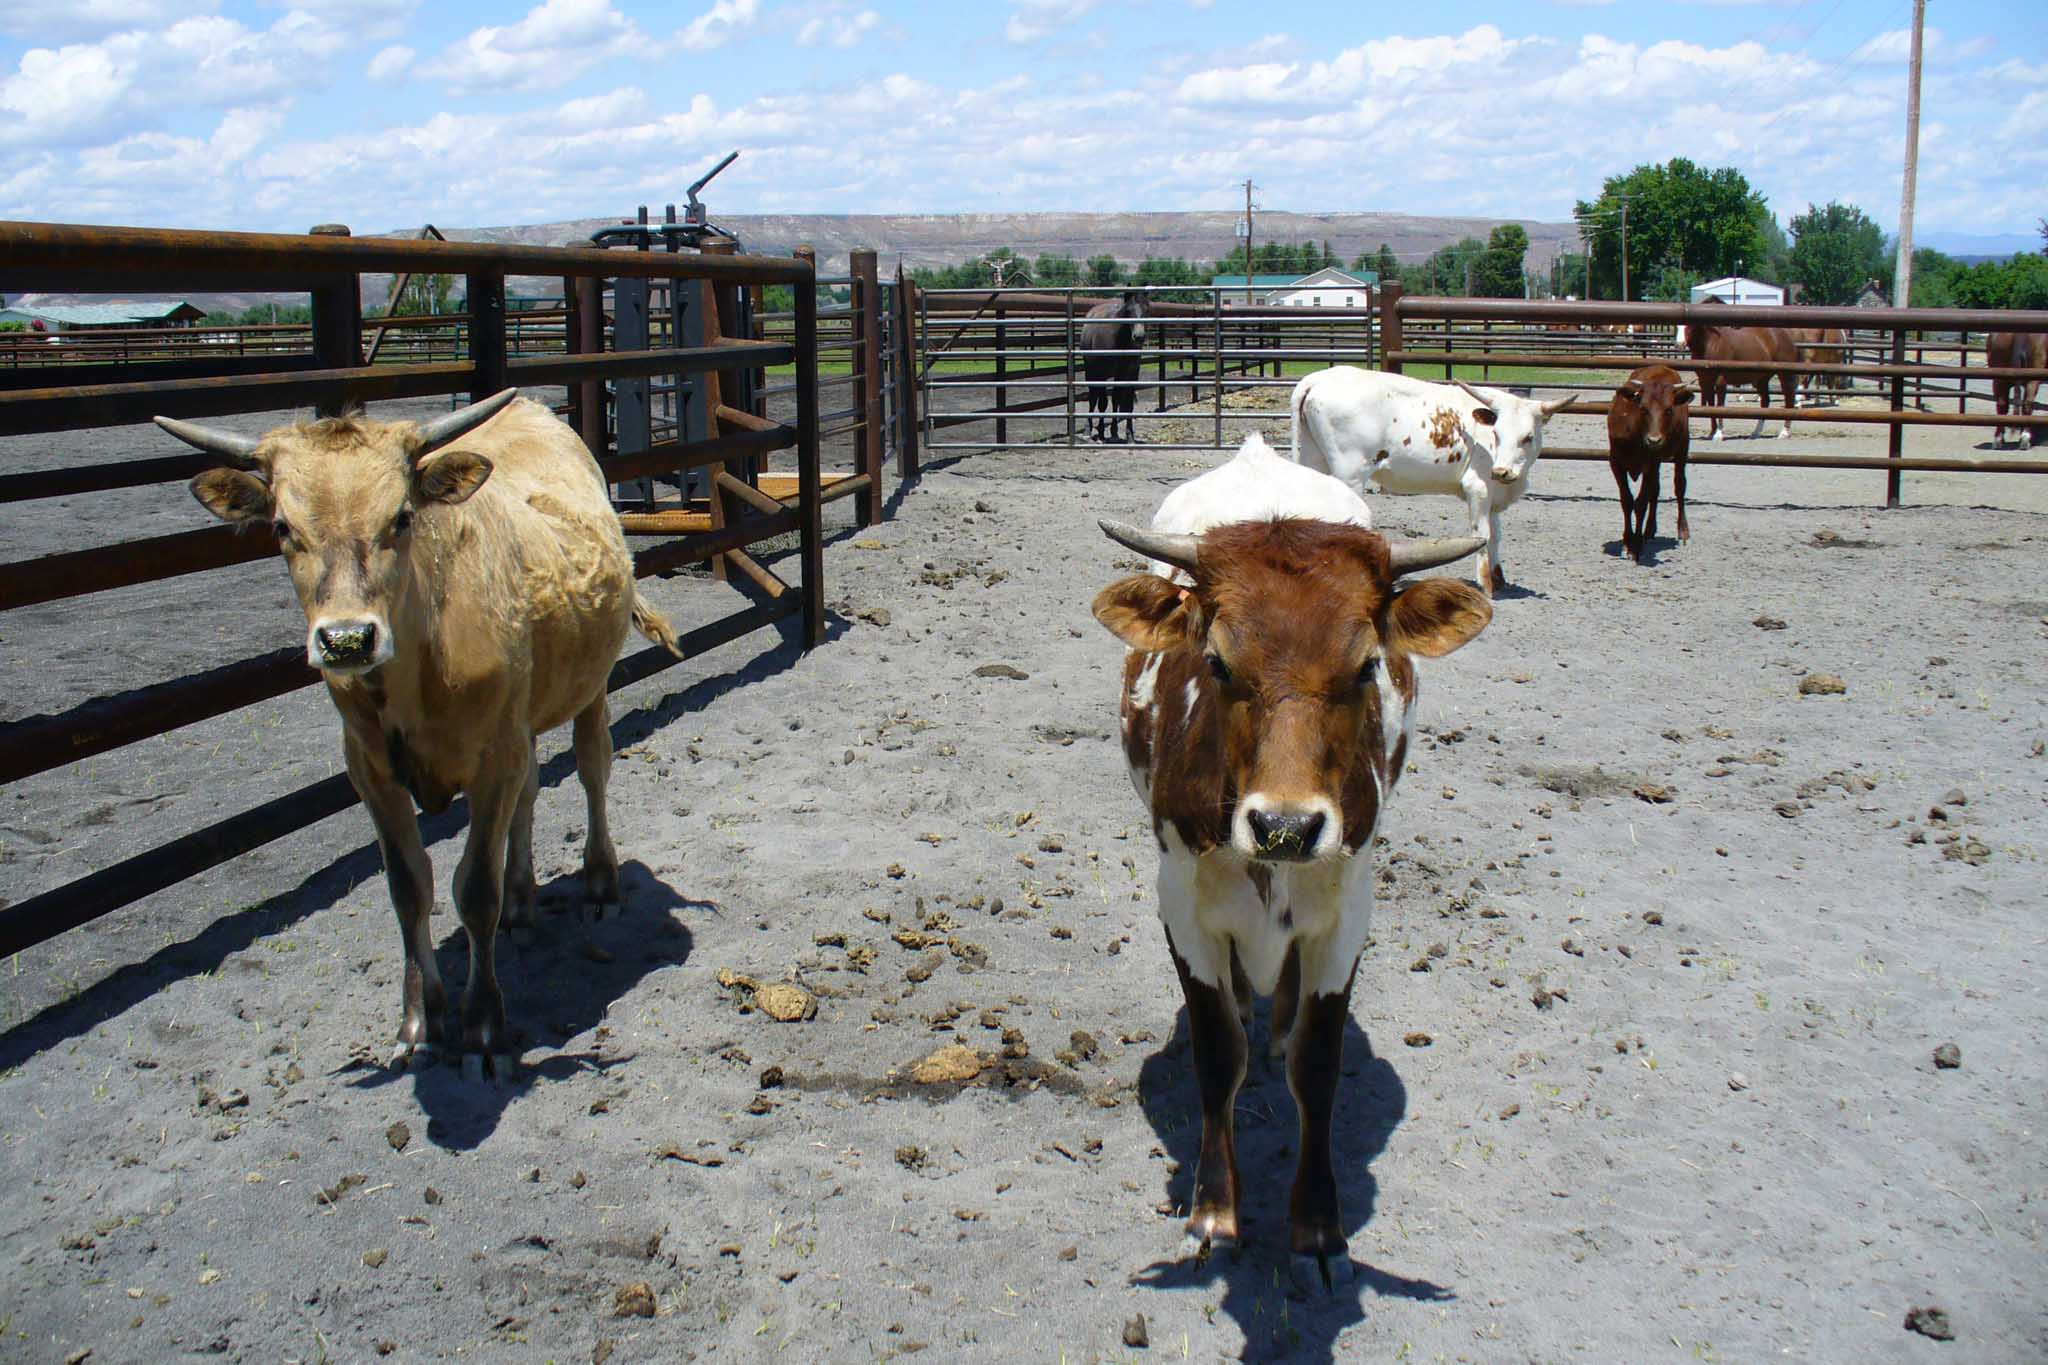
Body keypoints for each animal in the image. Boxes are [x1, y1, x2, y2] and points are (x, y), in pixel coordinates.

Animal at [159, 388, 684, 1080]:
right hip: (521, 718)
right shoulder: (371, 770)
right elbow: (409, 888)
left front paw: (483, 1023)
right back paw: (523, 901)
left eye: (402, 517)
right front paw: (421, 1023)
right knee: (528, 795)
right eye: (282, 528)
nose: (346, 639)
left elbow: (475, 889)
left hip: (588, 683)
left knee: (592, 766)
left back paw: (600, 881)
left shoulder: (492, 757)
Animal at [1081, 292, 1146, 444]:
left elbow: (1126, 403)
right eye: (1128, 311)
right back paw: (1088, 430)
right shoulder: (1101, 374)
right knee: (1093, 398)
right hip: (1092, 372)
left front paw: (1129, 436)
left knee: (1115, 398)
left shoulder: (1130, 374)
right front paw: (1100, 433)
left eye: (1147, 309)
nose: (1139, 336)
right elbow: (1102, 403)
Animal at [1286, 366, 1572, 593]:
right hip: (1351, 473)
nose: (1501, 471)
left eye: (1528, 437)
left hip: (1314, 461)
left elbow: (1497, 534)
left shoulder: (1494, 494)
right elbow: (1483, 534)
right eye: (1497, 434)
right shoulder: (1478, 488)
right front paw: (1486, 586)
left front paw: (1499, 578)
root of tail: (1317, 379)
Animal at [1597, 362, 1695, 564]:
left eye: (1669, 410)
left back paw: (1683, 531)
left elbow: (1640, 503)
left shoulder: (1650, 463)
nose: (1654, 440)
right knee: (1655, 491)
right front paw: (1628, 541)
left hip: (1682, 448)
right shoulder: (1615, 462)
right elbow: (1627, 500)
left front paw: (1635, 546)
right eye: (1643, 408)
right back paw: (1649, 530)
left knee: (1680, 486)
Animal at [1687, 300, 1802, 439]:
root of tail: (1788, 337)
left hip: (1785, 374)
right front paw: (1712, 432)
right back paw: (1756, 432)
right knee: (1765, 401)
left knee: (1789, 398)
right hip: (1762, 379)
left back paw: (1784, 432)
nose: (1680, 343)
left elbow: (1719, 404)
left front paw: (1719, 434)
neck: (1712, 343)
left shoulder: (1720, 379)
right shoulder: (1705, 380)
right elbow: (1710, 404)